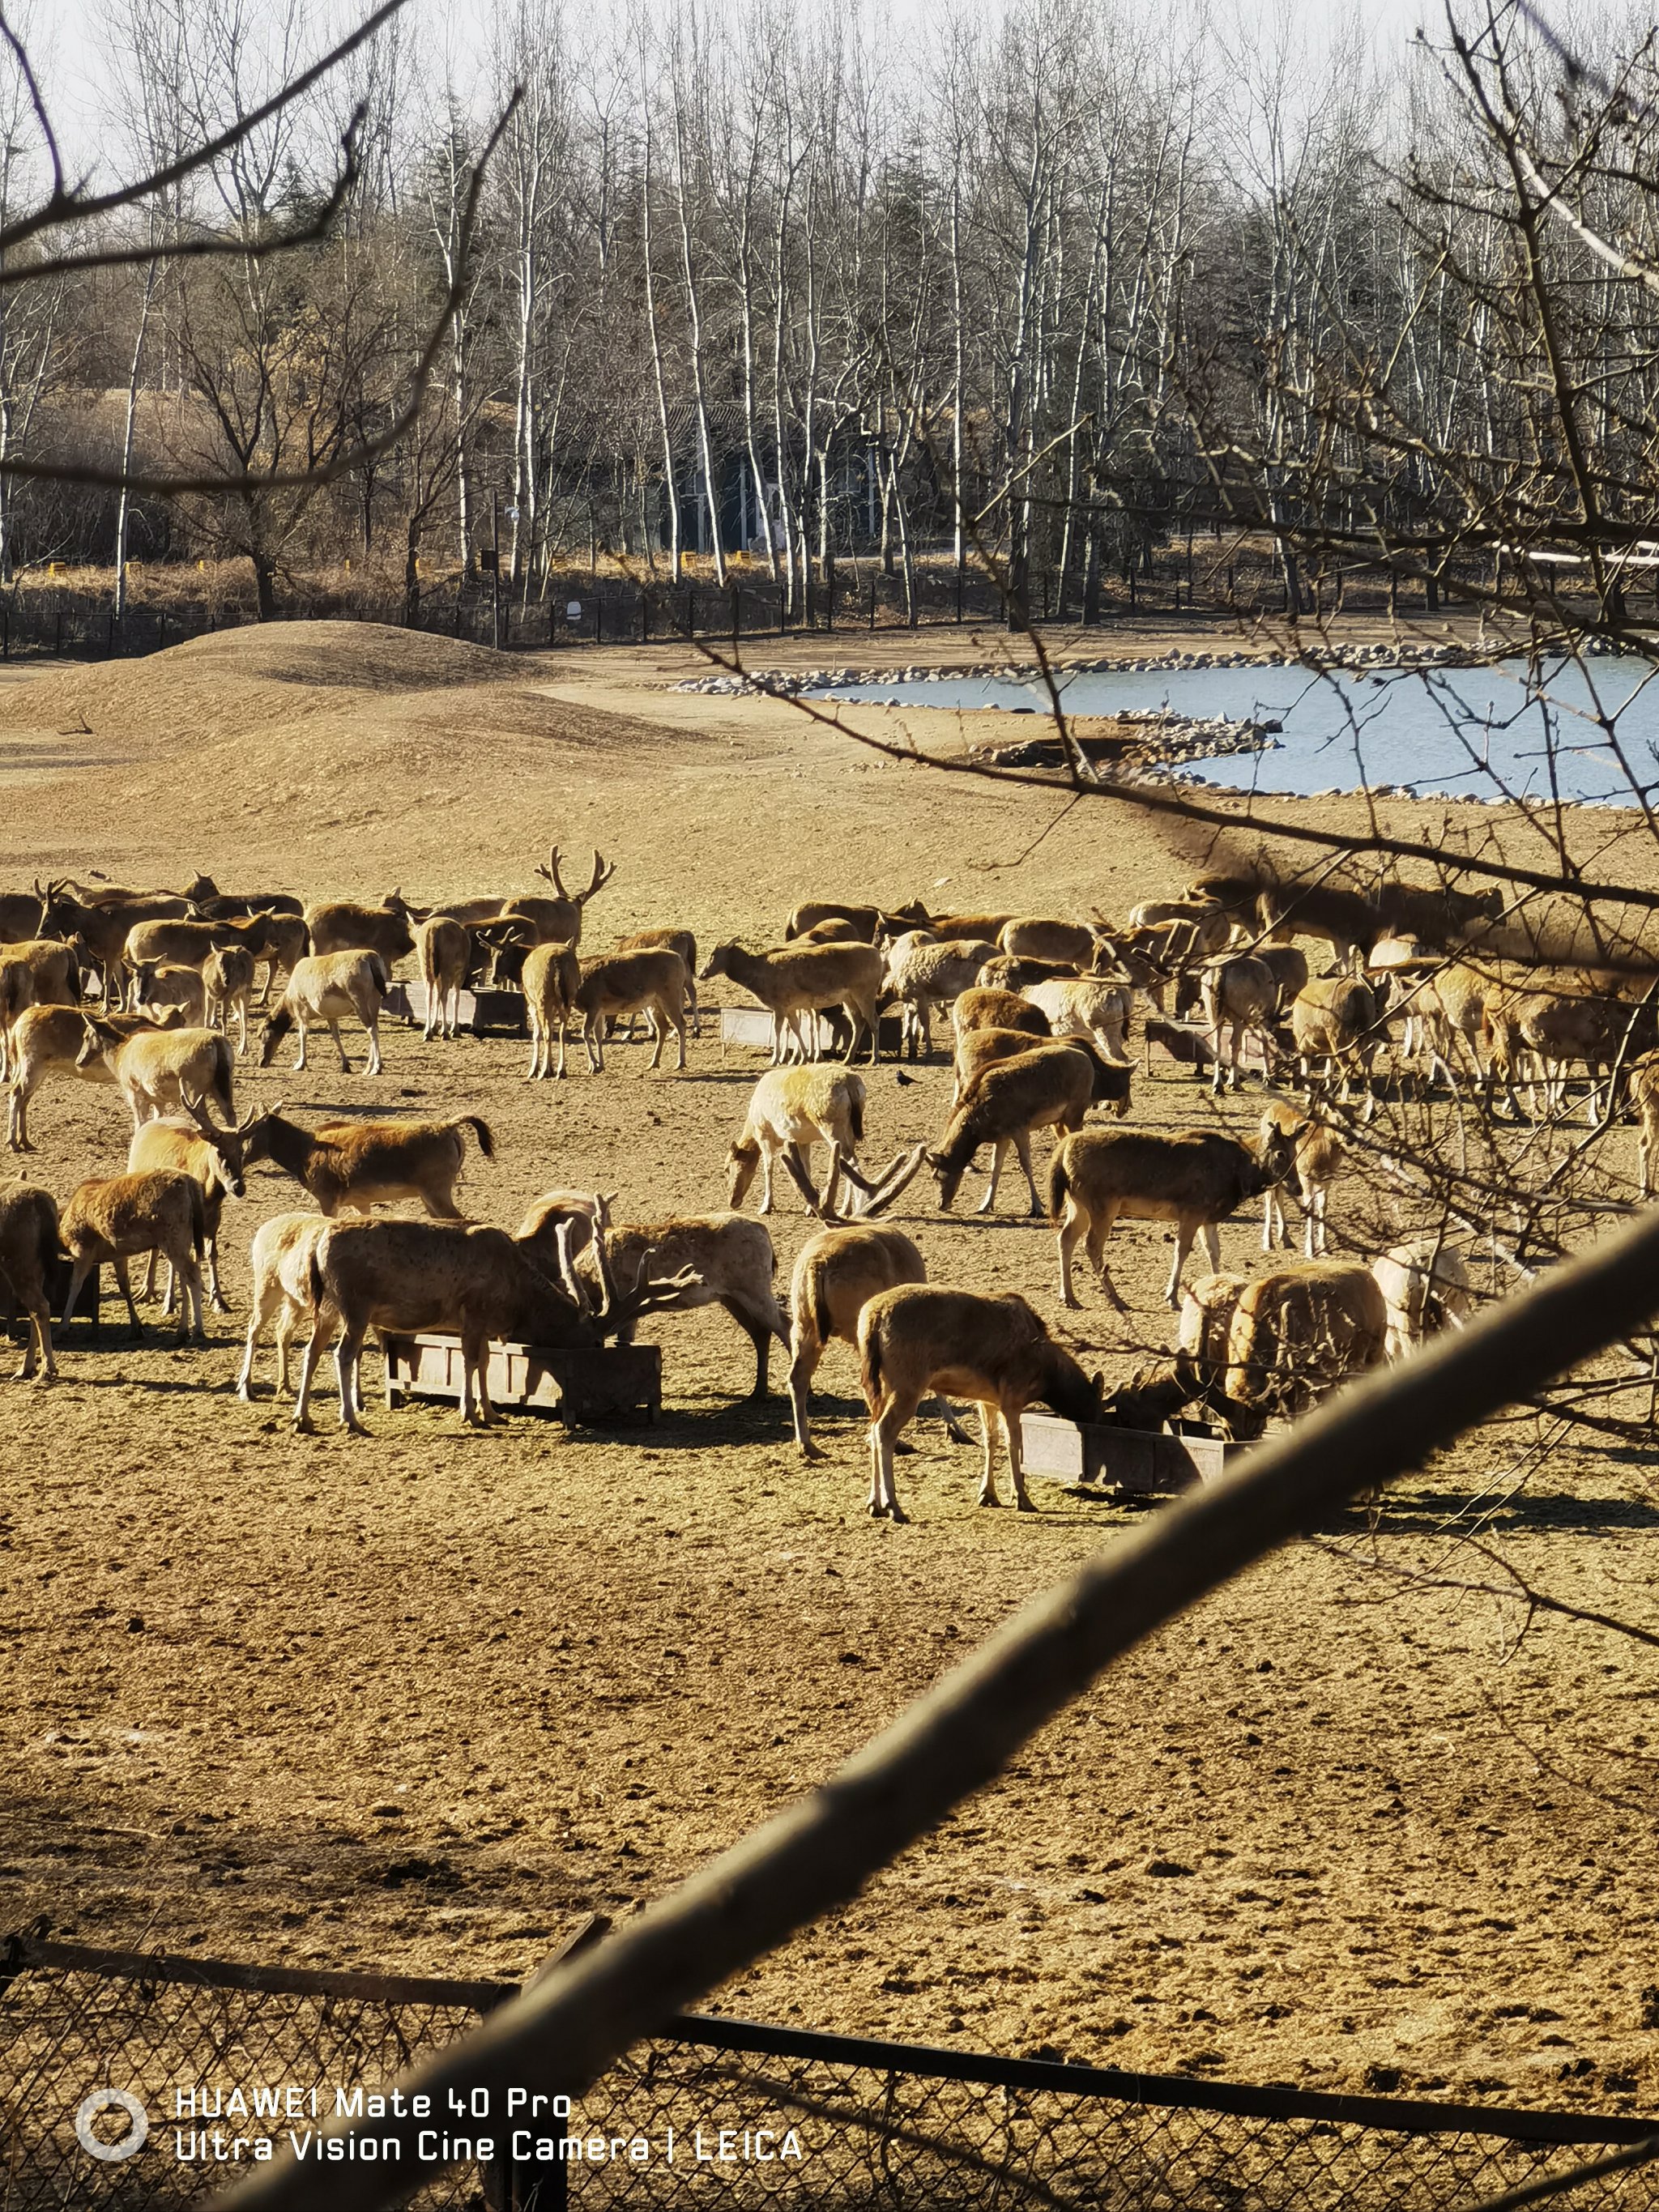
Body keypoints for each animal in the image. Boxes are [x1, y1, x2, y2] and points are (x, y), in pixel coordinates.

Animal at [858, 1282, 1106, 1521]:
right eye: (1099, 1410)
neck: (1046, 1377)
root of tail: (873, 1319)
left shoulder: (987, 1399)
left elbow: (990, 1439)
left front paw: (988, 1495)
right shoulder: (1012, 1397)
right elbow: (1013, 1443)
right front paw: (1021, 1498)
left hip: (876, 1387)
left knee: (872, 1429)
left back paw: (874, 1504)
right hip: (907, 1384)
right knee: (884, 1430)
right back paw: (893, 1506)